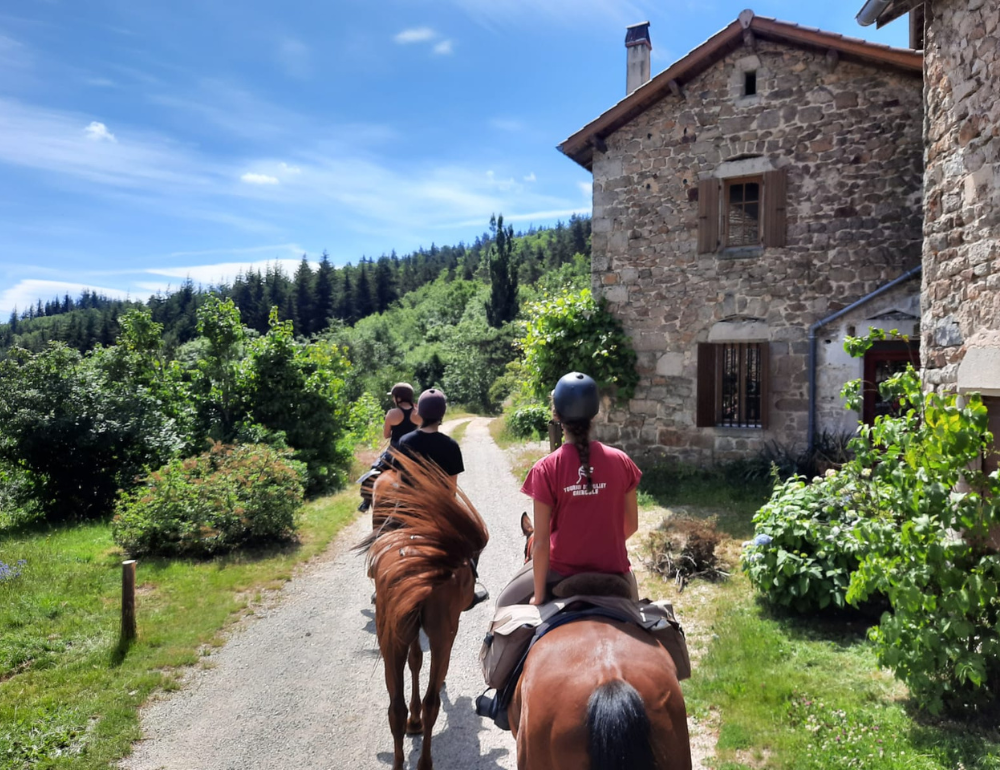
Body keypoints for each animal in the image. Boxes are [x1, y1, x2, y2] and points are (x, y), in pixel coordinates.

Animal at [358, 452, 490, 764]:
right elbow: (419, 664)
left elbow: (415, 660)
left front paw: (413, 722)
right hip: (444, 634)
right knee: (432, 702)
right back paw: (424, 757)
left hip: (392, 637)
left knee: (395, 708)